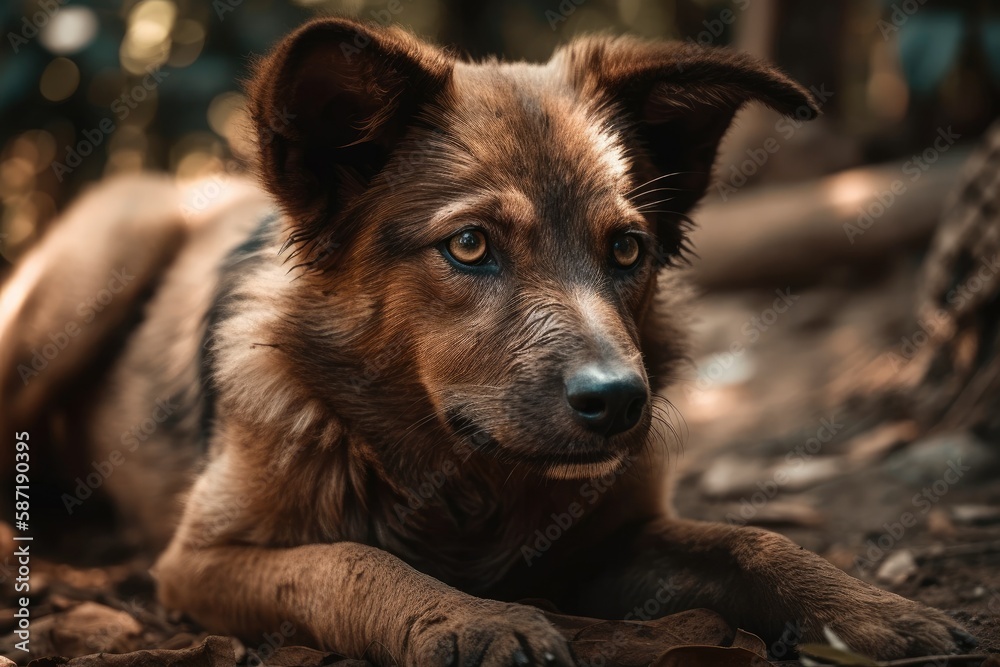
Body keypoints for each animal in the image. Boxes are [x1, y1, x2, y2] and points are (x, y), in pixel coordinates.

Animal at [0, 18, 968, 664]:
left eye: (627, 249)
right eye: (470, 245)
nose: (621, 403)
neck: (465, 478)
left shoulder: (611, 542)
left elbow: (752, 542)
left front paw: (870, 607)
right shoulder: (197, 561)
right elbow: (348, 560)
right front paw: (464, 617)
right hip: (97, 269)